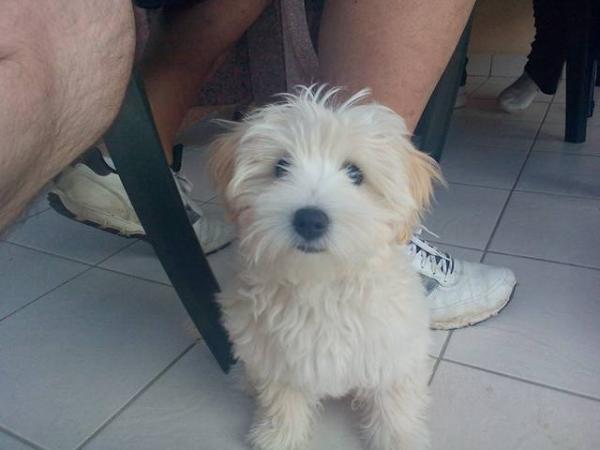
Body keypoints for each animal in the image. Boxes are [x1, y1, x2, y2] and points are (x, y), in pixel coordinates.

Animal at [209, 86, 442, 450]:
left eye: (355, 173)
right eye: (281, 166)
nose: (310, 220)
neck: (320, 284)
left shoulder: (394, 351)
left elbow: (394, 403)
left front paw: (399, 439)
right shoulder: (276, 357)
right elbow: (283, 399)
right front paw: (279, 436)